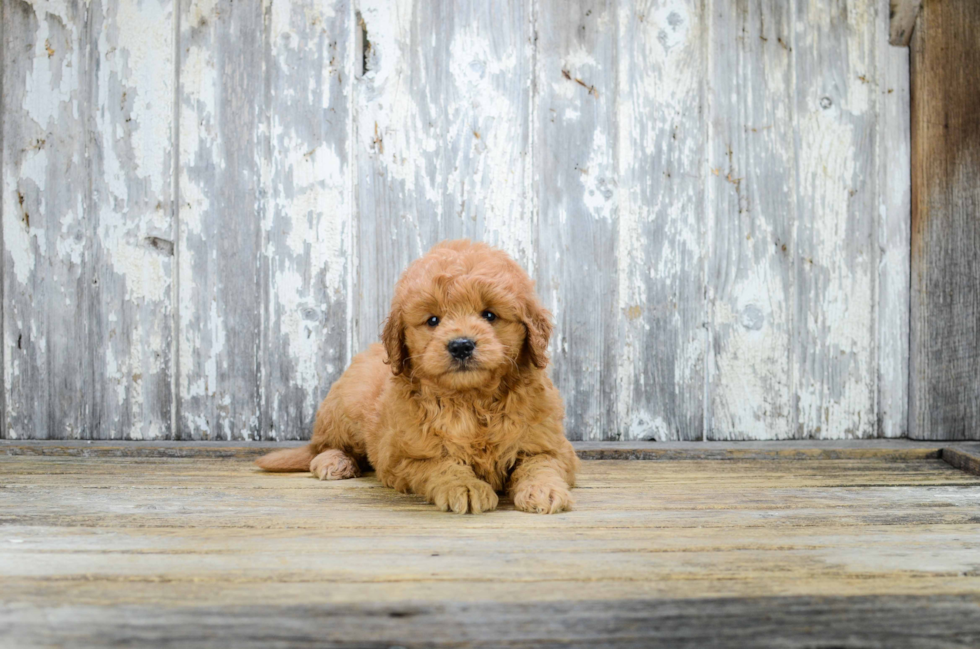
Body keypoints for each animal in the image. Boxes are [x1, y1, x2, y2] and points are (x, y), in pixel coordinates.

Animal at [256, 240, 580, 512]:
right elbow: (440, 465)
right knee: (323, 446)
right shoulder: (404, 457)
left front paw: (543, 491)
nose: (461, 345)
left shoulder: (550, 444)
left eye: (489, 315)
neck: (472, 400)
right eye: (433, 320)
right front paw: (465, 487)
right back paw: (334, 462)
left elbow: (541, 464)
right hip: (344, 409)